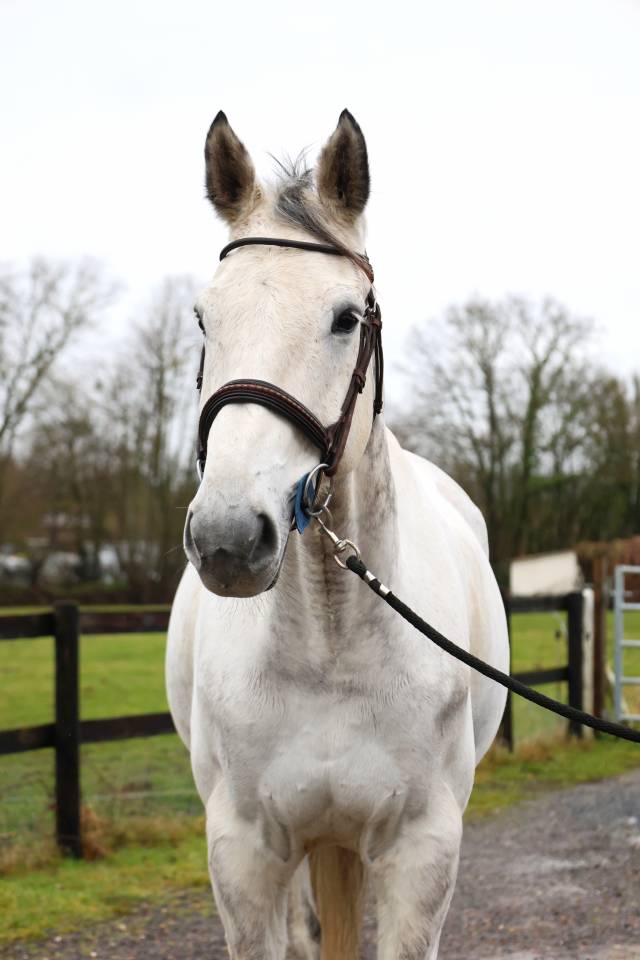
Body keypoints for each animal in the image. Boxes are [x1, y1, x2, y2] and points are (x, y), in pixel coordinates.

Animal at [166, 109, 509, 960]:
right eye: (204, 318)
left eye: (346, 317)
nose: (228, 539)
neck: (327, 640)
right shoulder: (244, 857)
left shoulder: (421, 853)